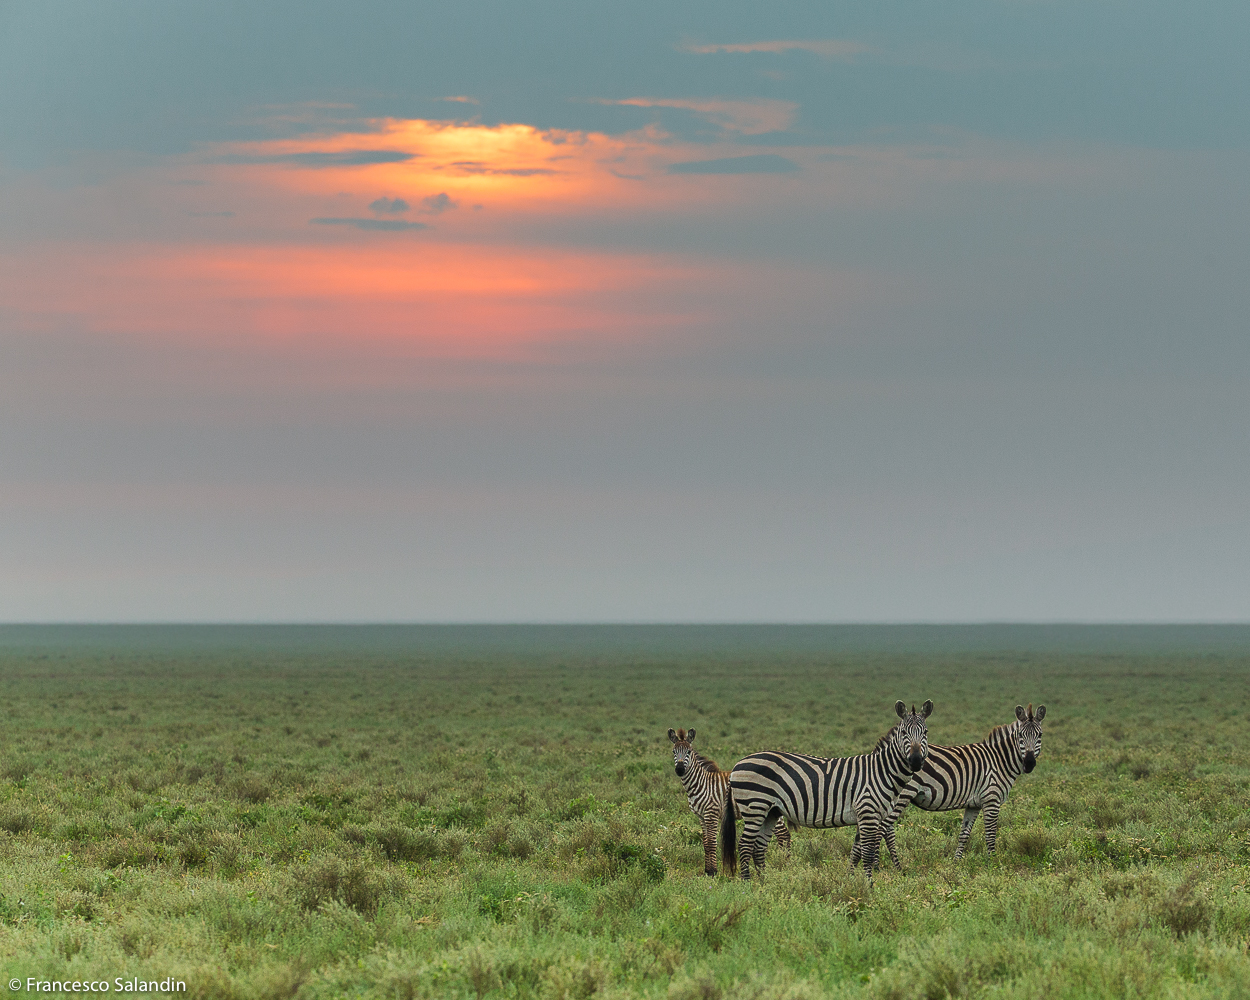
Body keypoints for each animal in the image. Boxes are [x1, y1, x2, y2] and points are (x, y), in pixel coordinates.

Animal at [669, 727, 791, 875]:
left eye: (689, 752)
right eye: (673, 752)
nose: (680, 770)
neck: (701, 782)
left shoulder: (712, 813)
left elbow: (711, 843)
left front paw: (713, 872)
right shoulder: (701, 816)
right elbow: (705, 843)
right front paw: (707, 871)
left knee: (783, 835)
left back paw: (784, 865)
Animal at [722, 700, 933, 880]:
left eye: (926, 732)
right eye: (904, 733)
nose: (916, 761)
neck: (881, 771)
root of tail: (737, 765)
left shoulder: (866, 816)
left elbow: (856, 852)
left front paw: (852, 880)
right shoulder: (868, 813)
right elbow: (868, 852)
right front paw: (869, 887)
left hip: (770, 811)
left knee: (758, 847)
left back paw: (763, 884)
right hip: (755, 806)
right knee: (745, 845)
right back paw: (748, 884)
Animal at [859, 703, 1047, 869]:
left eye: (1040, 735)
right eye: (1021, 735)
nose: (1029, 763)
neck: (999, 760)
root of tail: (881, 751)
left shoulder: (974, 804)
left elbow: (964, 834)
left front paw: (956, 863)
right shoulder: (991, 800)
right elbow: (990, 834)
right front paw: (993, 863)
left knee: (886, 829)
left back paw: (897, 867)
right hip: (902, 794)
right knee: (882, 829)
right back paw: (878, 867)